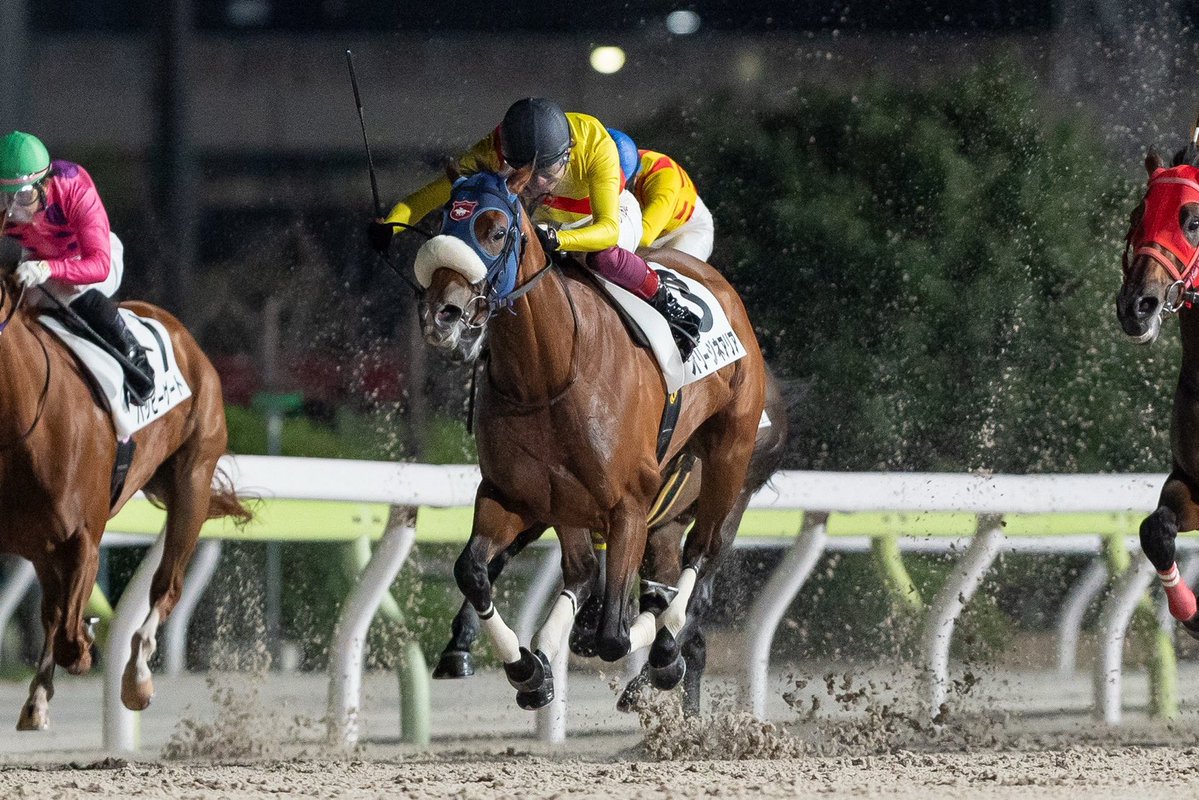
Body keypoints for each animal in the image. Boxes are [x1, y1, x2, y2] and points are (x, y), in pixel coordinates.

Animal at [0, 238, 251, 730]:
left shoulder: (82, 540)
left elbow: (67, 632)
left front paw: (86, 645)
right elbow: (56, 618)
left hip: (192, 482)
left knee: (166, 587)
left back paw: (136, 678)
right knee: (54, 610)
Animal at [413, 169, 774, 710]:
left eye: (496, 231)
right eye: (440, 222)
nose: (443, 315)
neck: (548, 374)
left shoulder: (630, 506)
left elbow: (613, 638)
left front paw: (652, 658)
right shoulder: (512, 493)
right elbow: (473, 571)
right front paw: (528, 670)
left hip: (729, 458)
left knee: (701, 554)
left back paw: (667, 650)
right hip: (569, 504)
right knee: (584, 571)